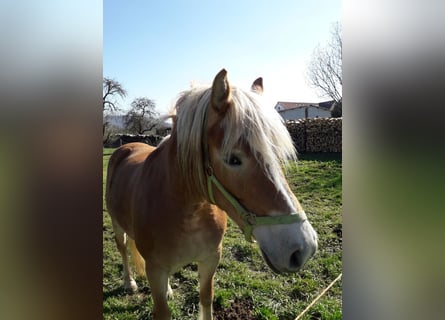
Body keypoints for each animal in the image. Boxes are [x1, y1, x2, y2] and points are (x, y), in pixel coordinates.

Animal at [106, 69, 318, 318]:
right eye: (233, 159)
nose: (303, 248)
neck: (187, 213)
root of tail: (126, 147)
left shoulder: (210, 259)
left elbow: (206, 298)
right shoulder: (155, 269)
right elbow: (162, 310)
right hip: (117, 225)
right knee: (122, 248)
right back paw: (129, 283)